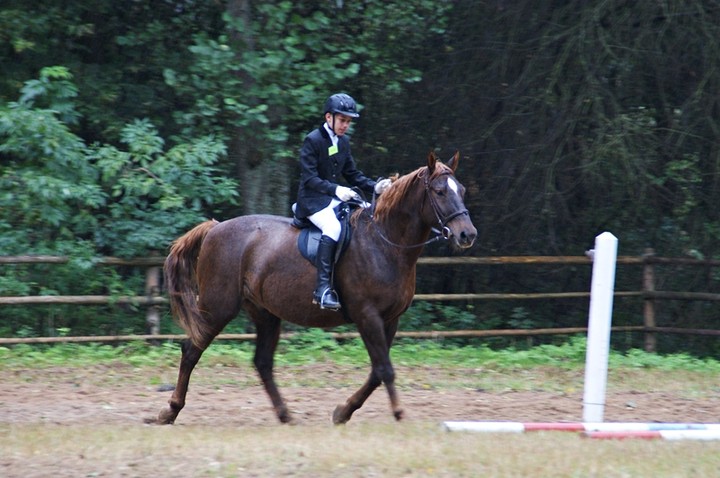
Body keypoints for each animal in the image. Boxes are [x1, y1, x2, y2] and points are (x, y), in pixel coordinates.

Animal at [153, 151, 478, 424]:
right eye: (439, 192)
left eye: (461, 190)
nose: (467, 234)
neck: (385, 242)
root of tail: (215, 227)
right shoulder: (367, 316)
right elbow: (384, 368)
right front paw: (397, 413)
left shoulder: (390, 319)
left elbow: (377, 370)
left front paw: (343, 411)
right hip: (217, 308)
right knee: (191, 350)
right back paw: (170, 411)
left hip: (265, 313)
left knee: (262, 362)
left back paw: (285, 415)